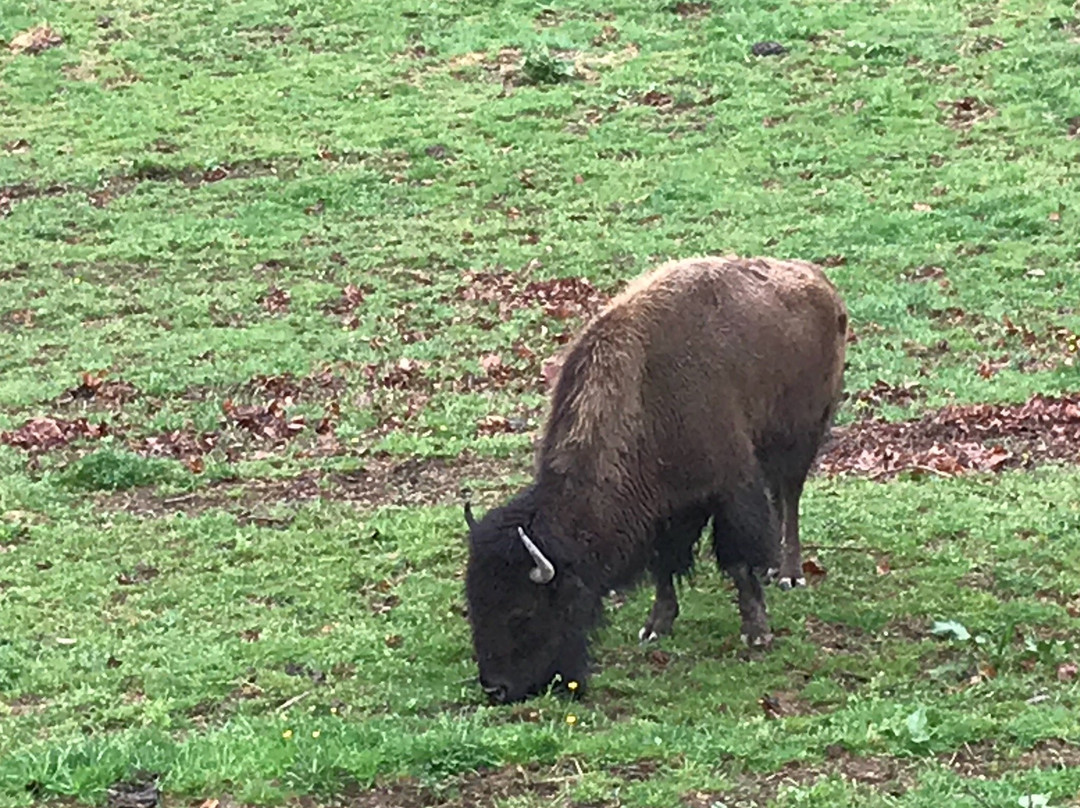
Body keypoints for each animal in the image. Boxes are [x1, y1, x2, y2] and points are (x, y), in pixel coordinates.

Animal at [460, 256, 846, 704]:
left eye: (523, 611)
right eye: (474, 605)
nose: (496, 687)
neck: (644, 391)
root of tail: (820, 282)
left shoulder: (729, 485)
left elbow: (736, 560)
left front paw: (757, 632)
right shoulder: (666, 508)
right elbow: (665, 564)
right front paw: (656, 626)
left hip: (800, 438)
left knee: (790, 498)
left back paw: (789, 573)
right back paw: (773, 570)